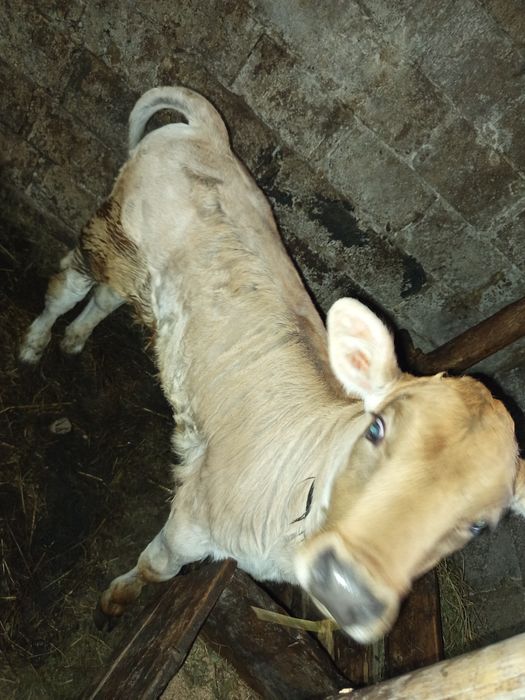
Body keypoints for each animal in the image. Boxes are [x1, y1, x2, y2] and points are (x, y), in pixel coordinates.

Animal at [20, 86, 525, 643]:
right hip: (113, 229)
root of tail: (210, 135)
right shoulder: (192, 515)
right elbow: (156, 566)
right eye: (375, 428)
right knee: (67, 284)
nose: (347, 588)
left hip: (140, 268)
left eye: (481, 525)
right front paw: (114, 601)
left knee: (107, 297)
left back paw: (74, 339)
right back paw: (35, 343)